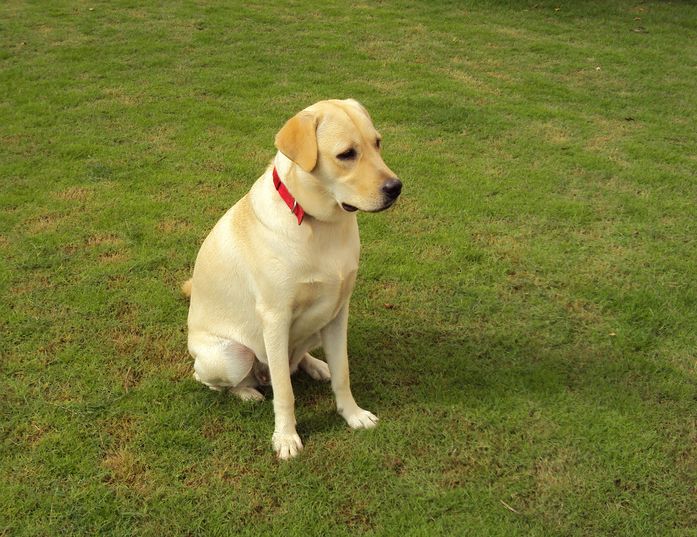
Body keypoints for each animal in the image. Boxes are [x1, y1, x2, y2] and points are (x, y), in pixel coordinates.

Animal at [182, 98, 402, 458]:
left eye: (378, 143)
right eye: (346, 154)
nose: (396, 188)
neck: (320, 223)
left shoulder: (339, 311)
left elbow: (343, 373)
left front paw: (353, 414)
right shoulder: (275, 318)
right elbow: (285, 392)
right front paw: (285, 437)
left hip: (317, 323)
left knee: (295, 361)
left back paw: (315, 365)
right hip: (231, 355)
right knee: (220, 380)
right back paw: (247, 392)